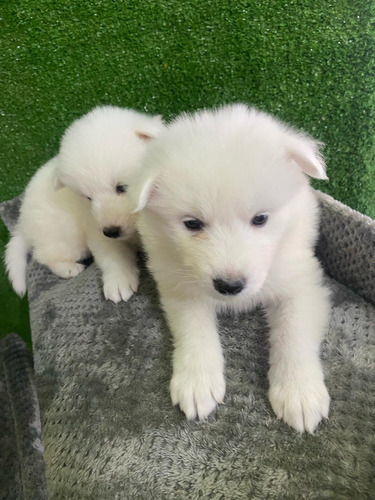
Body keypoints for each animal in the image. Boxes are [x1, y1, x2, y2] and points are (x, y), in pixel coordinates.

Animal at [5, 105, 164, 300]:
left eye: (123, 187)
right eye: (88, 198)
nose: (111, 231)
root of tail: (22, 224)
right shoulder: (94, 228)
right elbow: (112, 256)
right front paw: (119, 281)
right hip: (65, 238)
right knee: (43, 255)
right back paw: (67, 268)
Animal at [131, 104, 332, 434]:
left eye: (260, 218)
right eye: (192, 224)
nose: (230, 286)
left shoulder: (300, 281)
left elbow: (294, 334)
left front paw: (299, 392)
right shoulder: (180, 282)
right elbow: (194, 328)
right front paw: (197, 382)